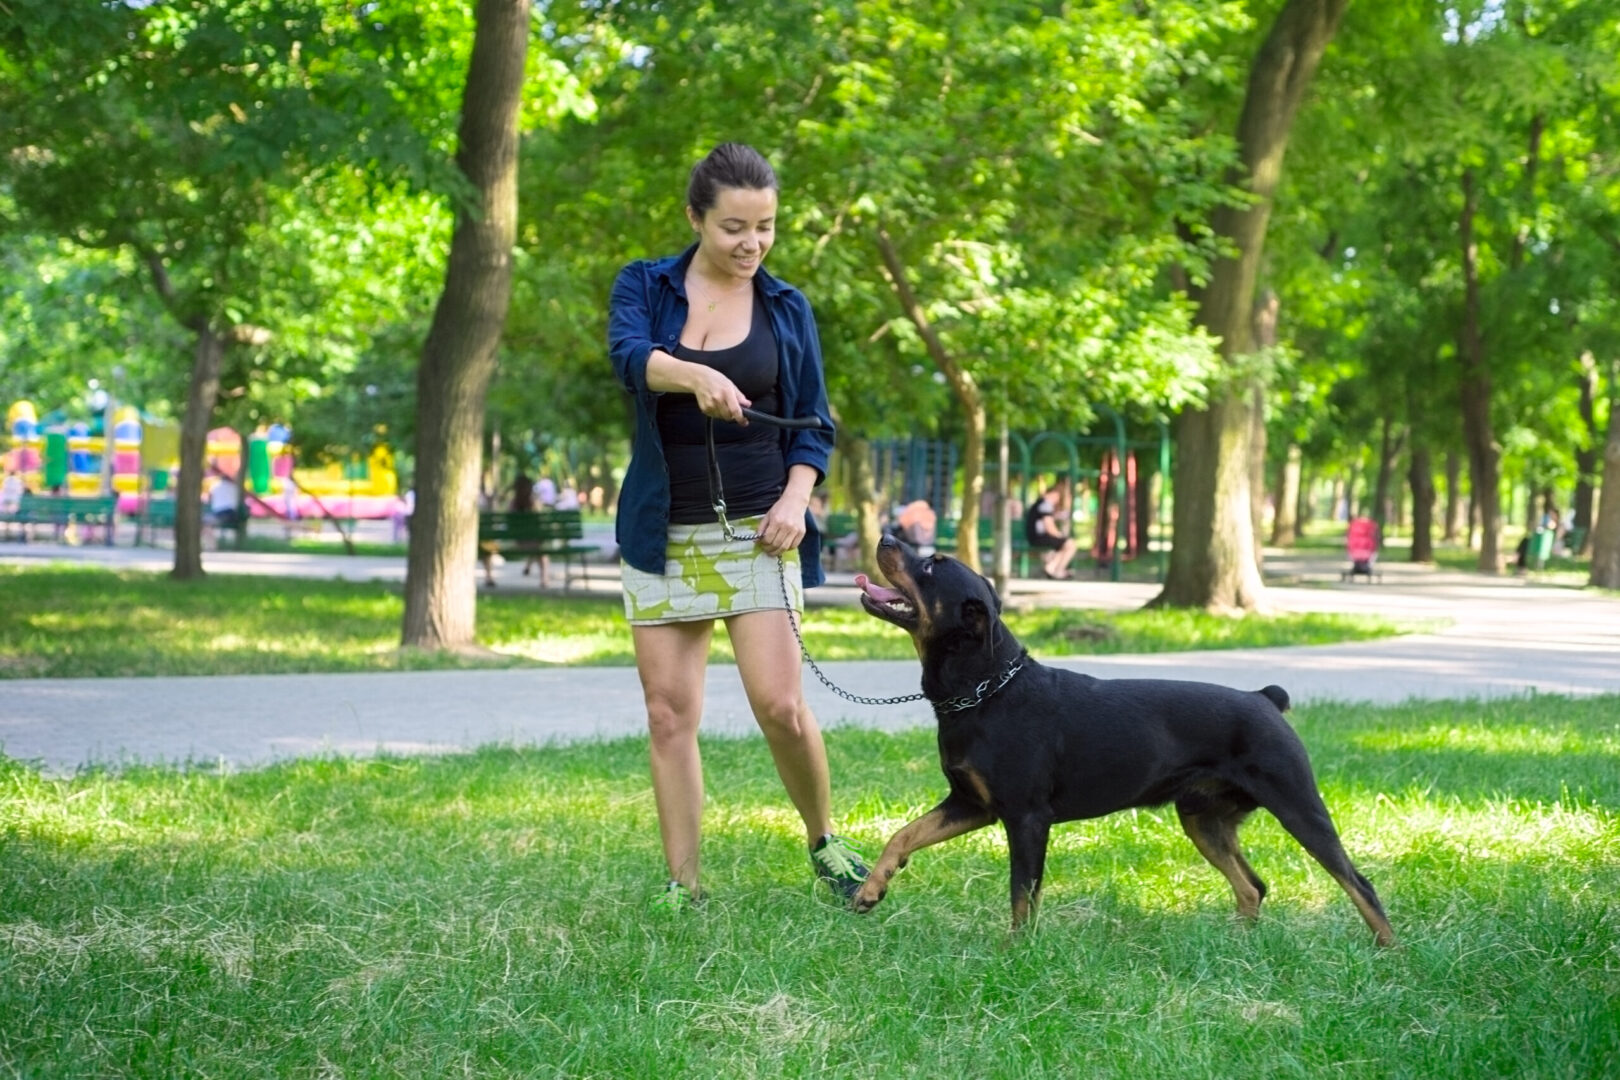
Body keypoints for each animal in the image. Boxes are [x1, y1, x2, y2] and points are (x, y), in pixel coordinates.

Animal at [848, 534, 1393, 945]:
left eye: (931, 565)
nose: (886, 536)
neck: (985, 690)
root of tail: (1265, 699)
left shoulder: (1026, 817)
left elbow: (1022, 893)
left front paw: (1016, 949)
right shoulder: (971, 804)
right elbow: (905, 834)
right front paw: (871, 889)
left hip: (1297, 804)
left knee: (1358, 881)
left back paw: (1388, 949)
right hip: (1203, 819)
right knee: (1253, 886)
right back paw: (1238, 941)